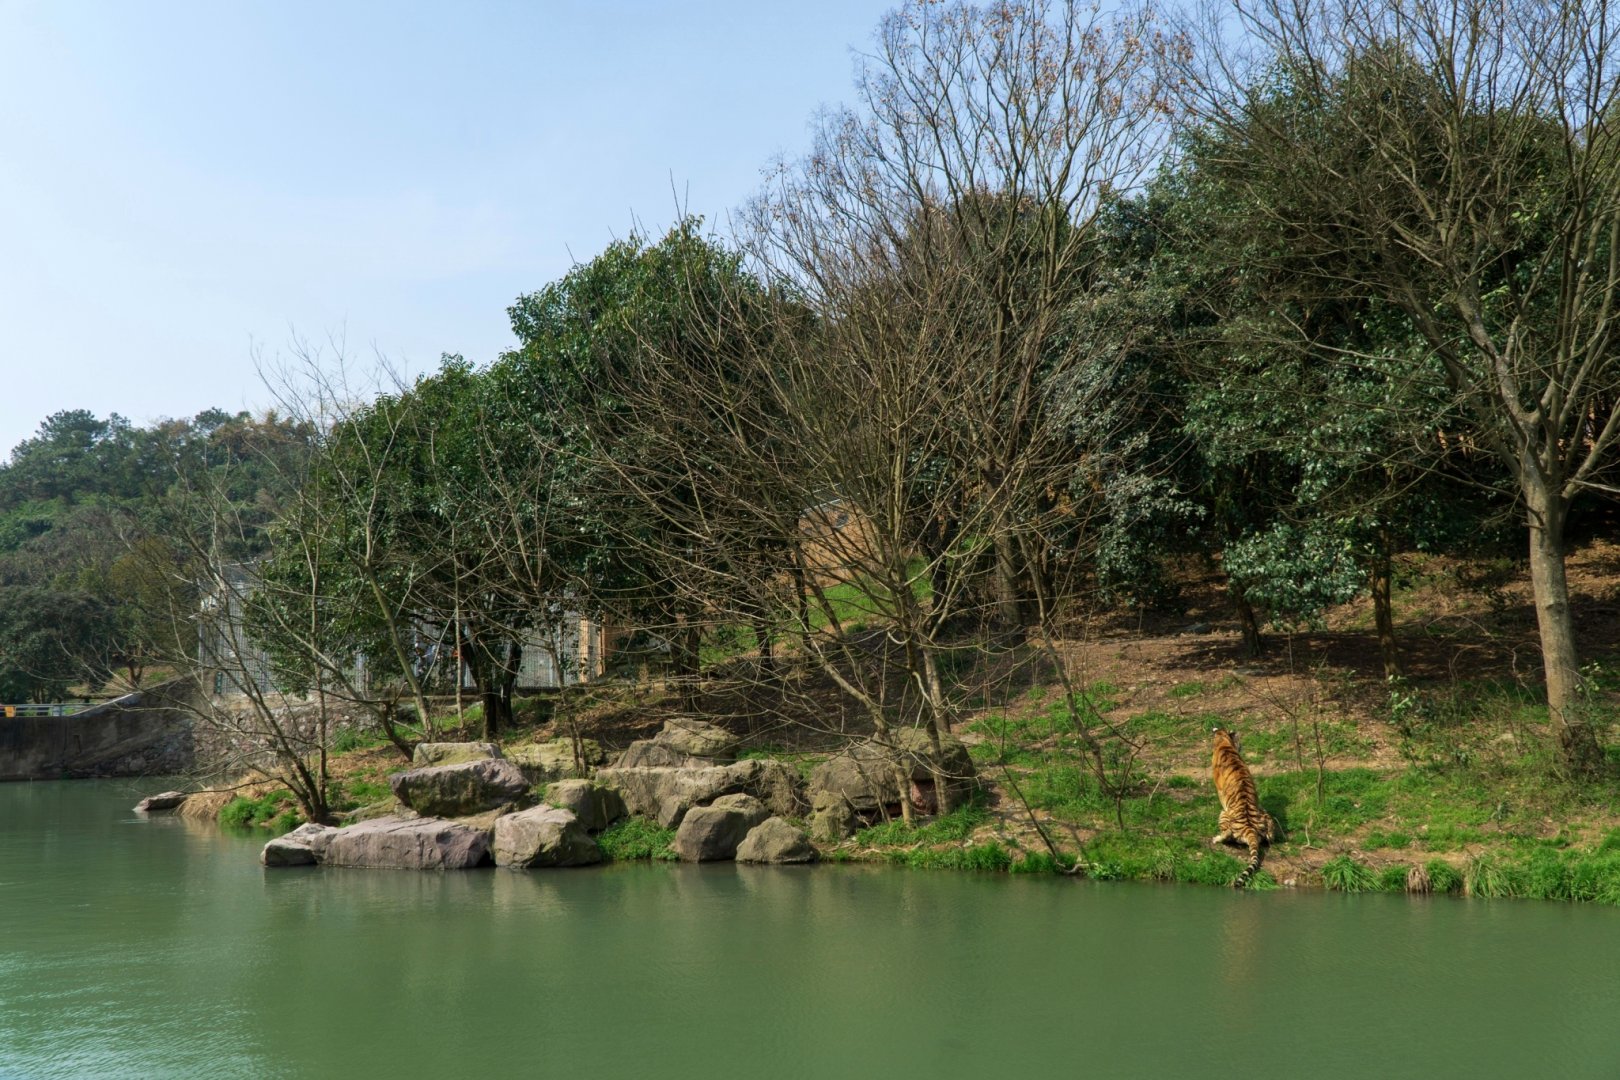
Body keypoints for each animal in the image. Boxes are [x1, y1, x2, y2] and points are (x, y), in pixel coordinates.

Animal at [1211, 726, 1277, 889]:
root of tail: (1250, 828)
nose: (1241, 745)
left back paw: (1216, 838)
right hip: (1265, 814)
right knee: (1270, 837)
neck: (1223, 741)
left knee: (1226, 834)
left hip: (1223, 814)